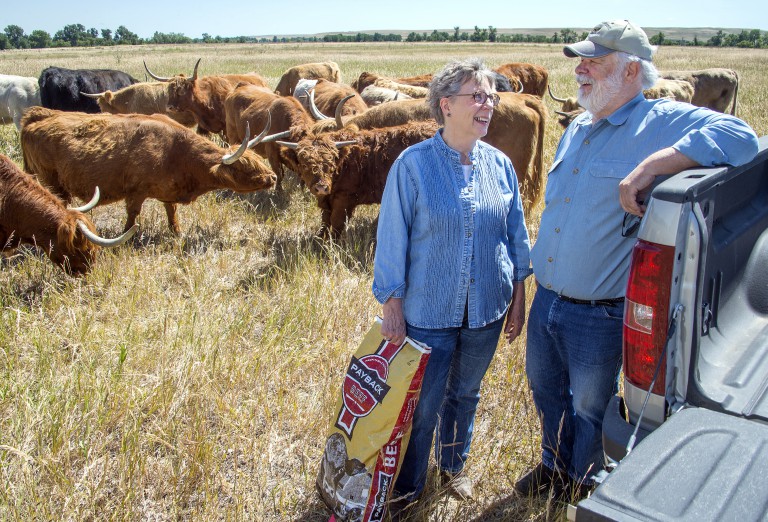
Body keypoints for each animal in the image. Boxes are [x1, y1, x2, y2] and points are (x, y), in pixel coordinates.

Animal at [20, 107, 280, 234]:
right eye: (244, 167)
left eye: (258, 160)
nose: (273, 177)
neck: (176, 153)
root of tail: (36, 116)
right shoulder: (136, 192)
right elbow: (132, 216)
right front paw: (126, 238)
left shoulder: (168, 192)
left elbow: (172, 213)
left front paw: (176, 233)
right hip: (52, 180)